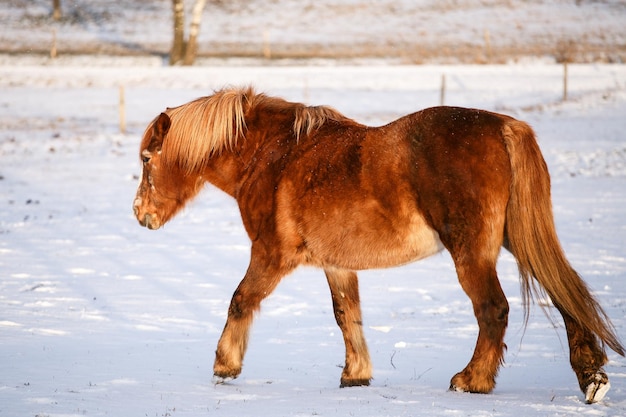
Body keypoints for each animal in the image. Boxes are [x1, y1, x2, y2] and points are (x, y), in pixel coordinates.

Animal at [132, 86, 620, 402]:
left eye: (147, 158)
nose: (140, 214)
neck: (274, 157)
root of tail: (505, 127)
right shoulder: (336, 263)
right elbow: (347, 315)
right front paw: (356, 375)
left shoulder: (270, 255)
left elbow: (240, 299)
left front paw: (225, 365)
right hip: (516, 238)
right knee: (563, 291)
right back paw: (590, 376)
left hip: (473, 251)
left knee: (493, 309)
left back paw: (472, 380)